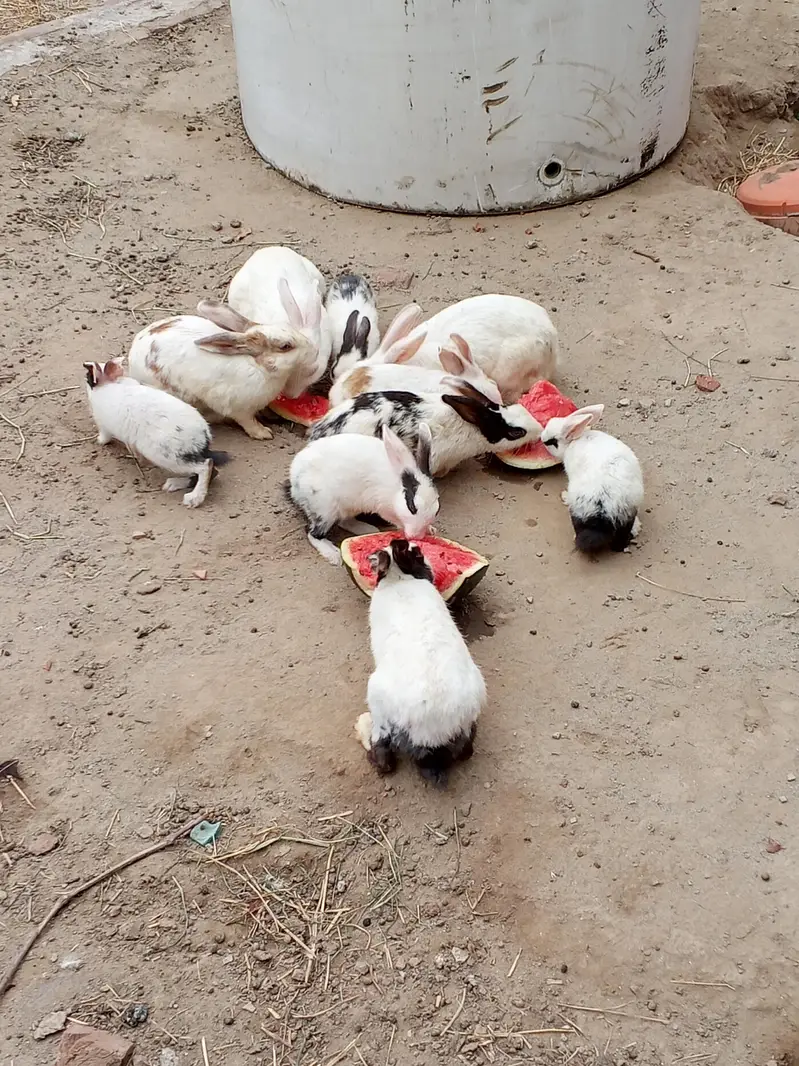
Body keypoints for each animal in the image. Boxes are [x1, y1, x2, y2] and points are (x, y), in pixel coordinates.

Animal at [83, 359, 228, 508]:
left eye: (88, 377)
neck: (108, 384)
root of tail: (204, 434)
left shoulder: (103, 425)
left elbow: (105, 436)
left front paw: (99, 441)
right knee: (211, 470)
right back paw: (174, 484)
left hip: (168, 457)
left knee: (206, 466)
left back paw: (193, 498)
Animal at [128, 304, 317, 441]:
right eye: (286, 346)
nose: (313, 348)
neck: (259, 366)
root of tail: (132, 356)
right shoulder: (240, 409)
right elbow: (249, 422)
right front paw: (264, 433)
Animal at [287, 424, 439, 566]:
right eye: (412, 507)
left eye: (436, 511)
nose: (416, 536)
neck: (395, 488)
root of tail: (294, 481)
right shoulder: (385, 509)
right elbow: (396, 521)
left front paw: (431, 530)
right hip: (325, 511)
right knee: (312, 533)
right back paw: (334, 555)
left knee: (344, 522)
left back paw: (367, 529)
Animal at [354, 538, 486, 788]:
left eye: (417, 553)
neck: (399, 578)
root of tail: (433, 735)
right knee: (468, 751)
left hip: (376, 697)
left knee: (384, 759)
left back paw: (362, 727)